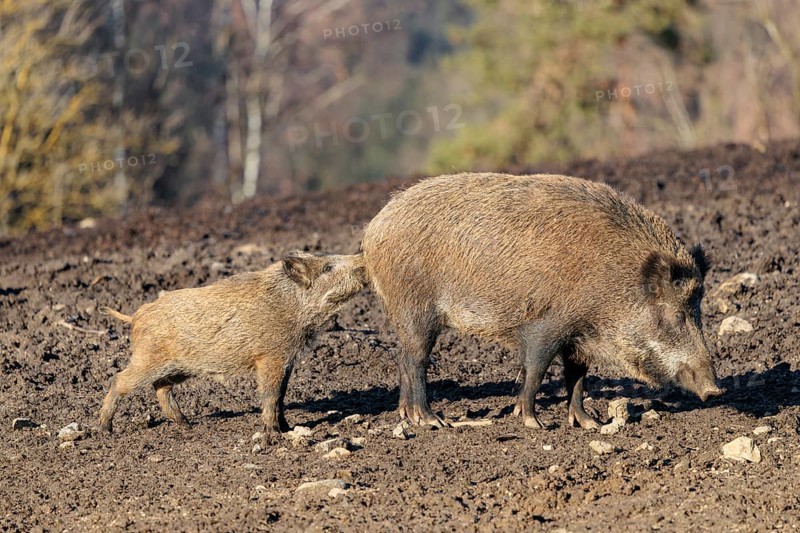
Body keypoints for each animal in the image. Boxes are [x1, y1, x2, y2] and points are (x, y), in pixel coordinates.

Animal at [98, 251, 367, 433]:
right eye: (327, 267)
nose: (362, 258)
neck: (293, 306)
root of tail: (135, 316)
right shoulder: (270, 357)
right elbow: (270, 394)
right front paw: (275, 433)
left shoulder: (287, 360)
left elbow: (281, 395)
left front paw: (287, 428)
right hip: (148, 359)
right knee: (120, 380)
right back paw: (105, 429)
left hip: (178, 368)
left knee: (161, 387)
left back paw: (188, 426)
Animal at [361, 173, 723, 429]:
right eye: (674, 314)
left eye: (698, 310)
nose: (716, 391)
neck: (613, 283)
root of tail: (373, 230)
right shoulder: (548, 323)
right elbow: (536, 368)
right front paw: (533, 422)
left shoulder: (581, 339)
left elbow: (577, 378)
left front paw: (590, 424)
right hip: (416, 309)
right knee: (416, 360)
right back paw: (431, 420)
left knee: (403, 357)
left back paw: (406, 416)